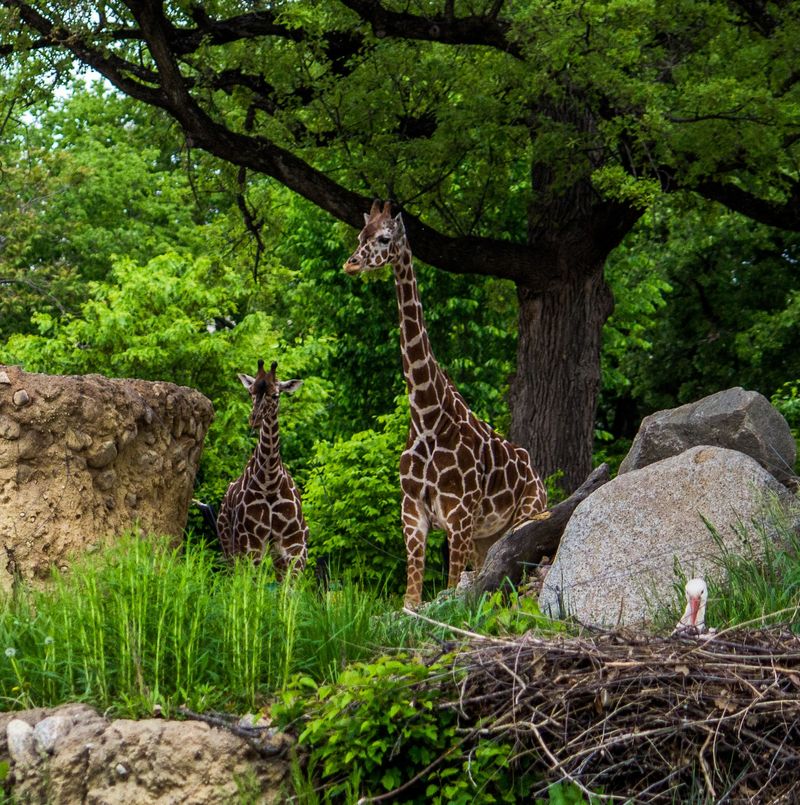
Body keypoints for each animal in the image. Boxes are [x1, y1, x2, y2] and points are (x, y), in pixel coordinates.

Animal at [216, 359, 308, 577]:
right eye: (251, 392)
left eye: (275, 395)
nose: (255, 419)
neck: (270, 480)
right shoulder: (251, 543)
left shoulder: (295, 545)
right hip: (229, 544)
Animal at [344, 200, 547, 606]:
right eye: (360, 235)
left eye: (384, 238)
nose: (352, 264)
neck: (426, 416)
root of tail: (539, 479)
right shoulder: (412, 514)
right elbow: (411, 601)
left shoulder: (459, 515)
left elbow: (452, 591)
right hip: (486, 536)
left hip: (522, 518)